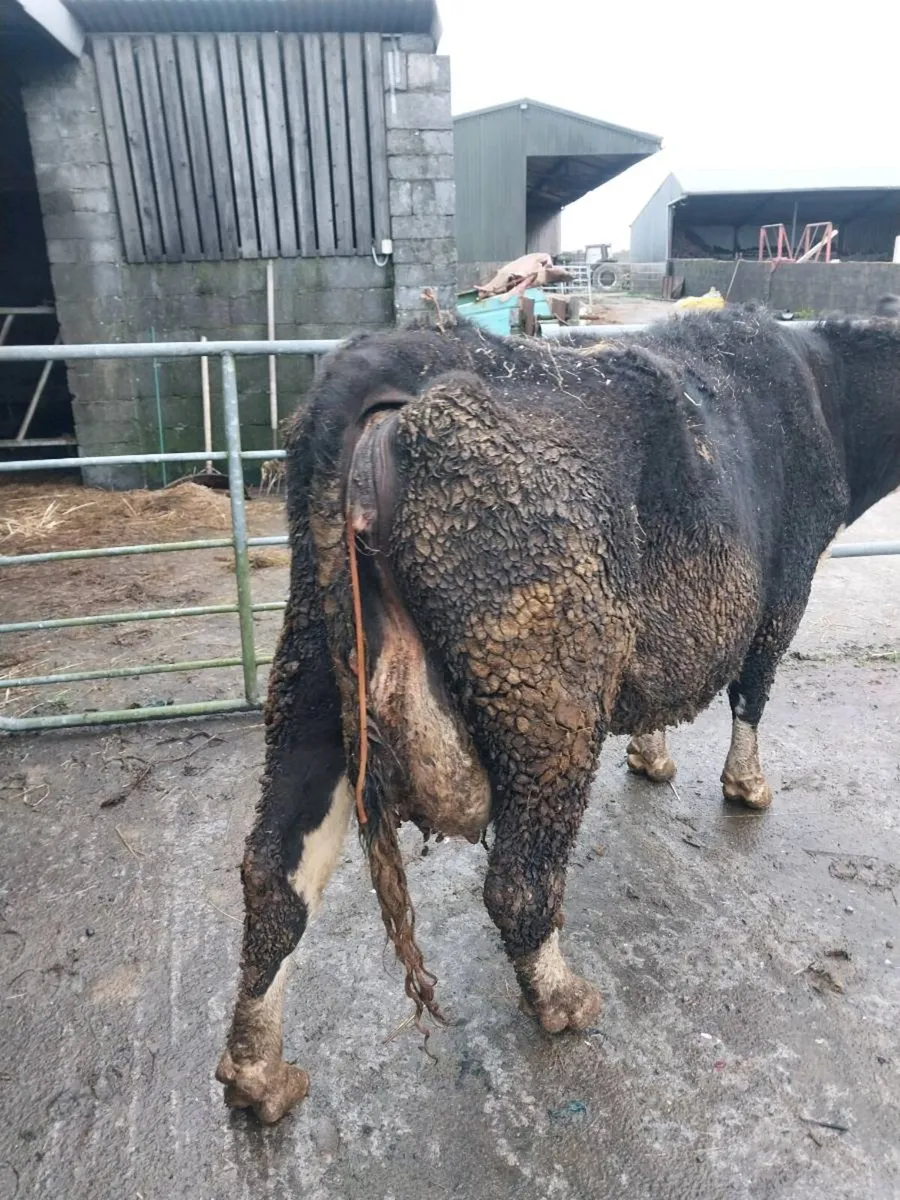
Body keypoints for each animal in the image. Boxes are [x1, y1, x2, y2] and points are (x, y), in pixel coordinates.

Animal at [216, 306, 900, 1123]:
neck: (822, 377)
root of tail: (384, 359)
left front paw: (651, 755)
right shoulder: (785, 589)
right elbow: (754, 692)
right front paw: (748, 787)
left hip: (311, 676)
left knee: (274, 874)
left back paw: (258, 1072)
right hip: (550, 697)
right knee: (518, 882)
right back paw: (563, 998)